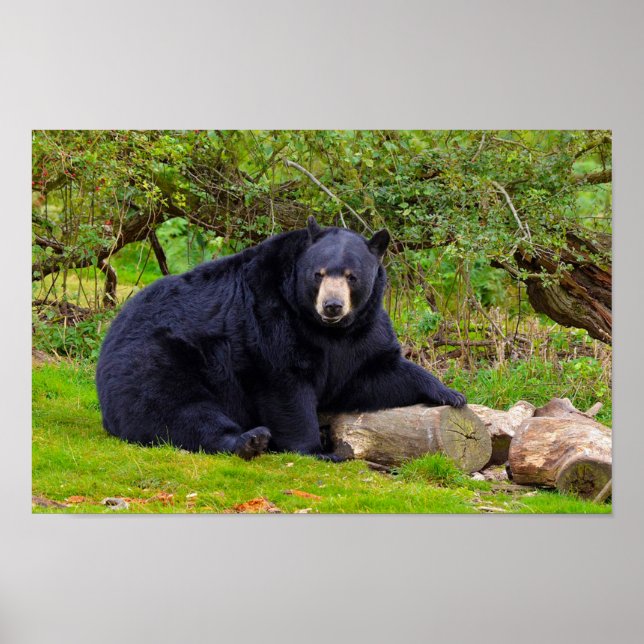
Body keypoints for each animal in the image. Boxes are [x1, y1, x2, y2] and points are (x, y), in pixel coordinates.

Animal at [95, 216, 466, 460]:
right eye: (318, 274)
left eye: (352, 276)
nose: (332, 306)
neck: (324, 329)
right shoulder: (269, 317)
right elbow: (285, 385)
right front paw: (317, 449)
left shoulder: (360, 333)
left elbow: (369, 375)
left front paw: (449, 393)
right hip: (158, 358)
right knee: (177, 407)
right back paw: (249, 440)